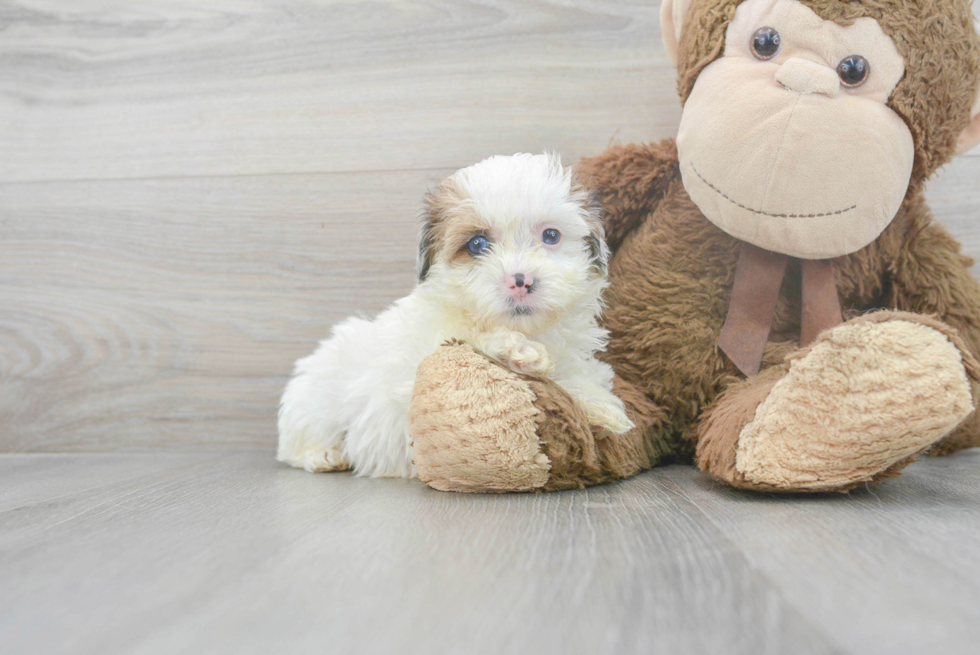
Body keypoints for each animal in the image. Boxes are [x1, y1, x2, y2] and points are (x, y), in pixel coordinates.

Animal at [278, 152, 628, 476]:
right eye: (477, 244)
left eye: (551, 236)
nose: (521, 280)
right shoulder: (416, 371)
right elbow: (467, 342)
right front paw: (516, 350)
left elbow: (576, 378)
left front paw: (599, 407)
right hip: (314, 402)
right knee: (297, 443)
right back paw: (324, 455)